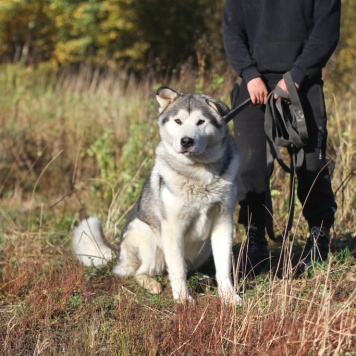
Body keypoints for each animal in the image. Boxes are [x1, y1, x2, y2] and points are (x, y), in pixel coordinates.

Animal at [72, 87, 242, 306]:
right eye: (178, 121)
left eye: (200, 122)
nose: (186, 141)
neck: (198, 174)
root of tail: (118, 256)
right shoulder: (172, 227)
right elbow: (176, 269)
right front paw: (183, 298)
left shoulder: (223, 221)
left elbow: (223, 268)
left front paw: (229, 296)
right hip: (147, 237)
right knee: (139, 272)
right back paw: (151, 283)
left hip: (203, 248)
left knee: (185, 267)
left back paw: (201, 277)